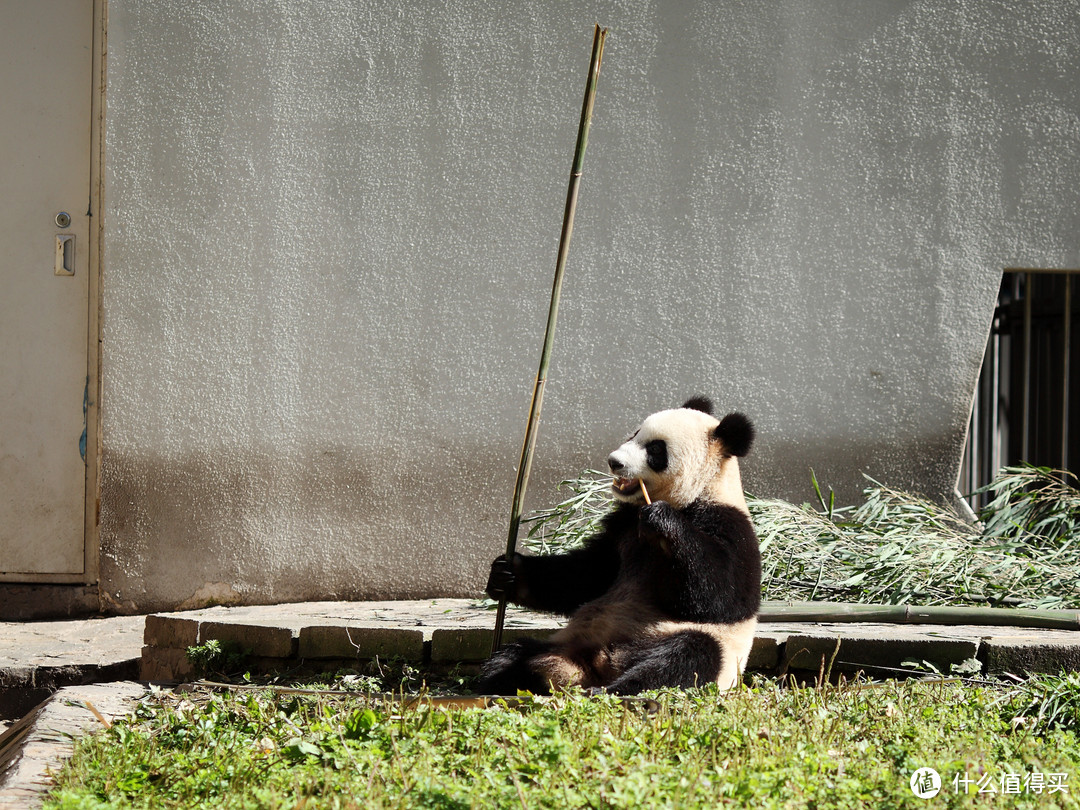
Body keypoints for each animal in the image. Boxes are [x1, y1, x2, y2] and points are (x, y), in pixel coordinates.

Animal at [481, 399, 760, 699]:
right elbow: (585, 576)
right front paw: (507, 574)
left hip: (693, 646)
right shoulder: (621, 527)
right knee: (514, 653)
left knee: (686, 656)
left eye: (656, 449)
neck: (695, 495)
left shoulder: (730, 524)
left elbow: (722, 596)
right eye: (634, 434)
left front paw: (662, 521)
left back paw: (616, 689)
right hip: (569, 643)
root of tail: (597, 668)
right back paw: (517, 676)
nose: (614, 461)